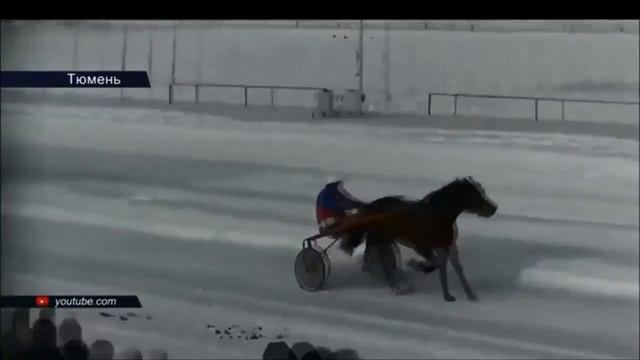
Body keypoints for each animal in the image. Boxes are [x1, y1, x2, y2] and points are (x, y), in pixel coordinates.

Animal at [348, 177, 498, 300]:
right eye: (476, 195)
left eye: (483, 191)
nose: (494, 208)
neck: (439, 215)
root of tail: (371, 205)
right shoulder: (422, 246)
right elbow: (437, 264)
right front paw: (415, 265)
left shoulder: (448, 246)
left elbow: (454, 268)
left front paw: (463, 295)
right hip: (381, 240)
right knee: (380, 262)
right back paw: (396, 286)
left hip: (385, 242)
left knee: (380, 261)